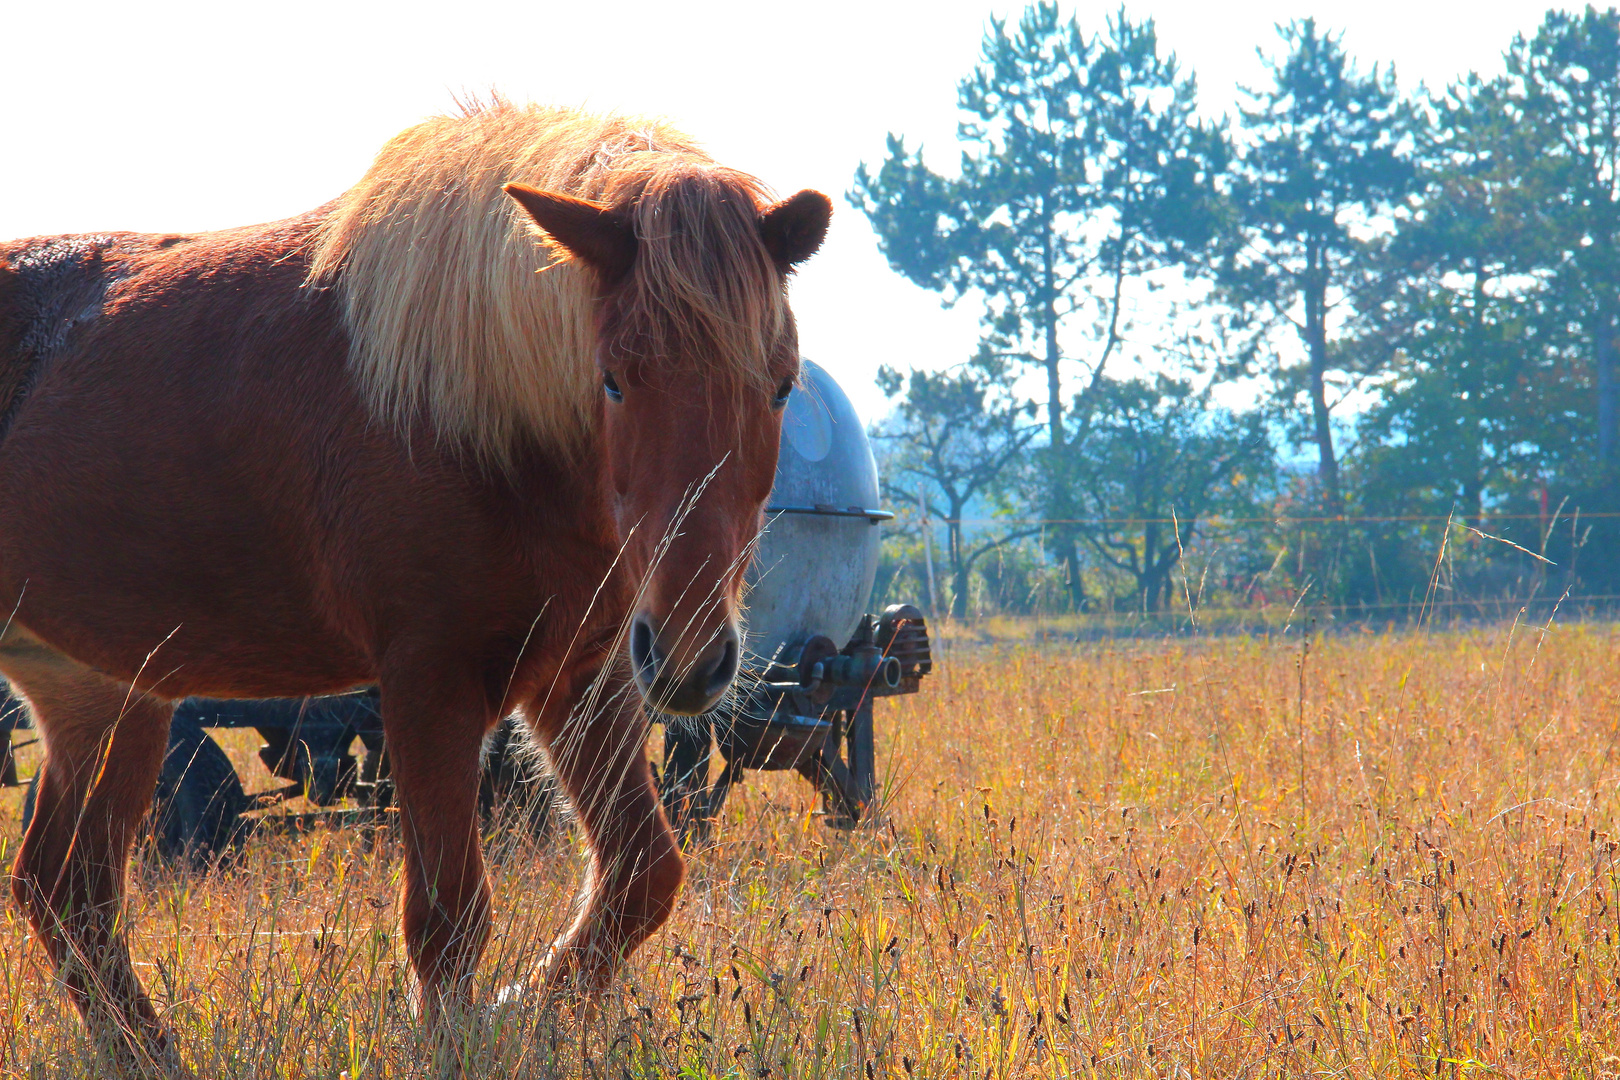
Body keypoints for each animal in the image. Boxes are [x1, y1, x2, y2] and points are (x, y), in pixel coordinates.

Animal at [0, 103, 829, 1075]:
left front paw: (522, 1015)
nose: (694, 659)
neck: (485, 428)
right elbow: (448, 919)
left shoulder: (580, 673)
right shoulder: (431, 682)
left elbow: (640, 875)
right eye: (614, 380)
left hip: (102, 695)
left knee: (70, 893)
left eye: (780, 387)